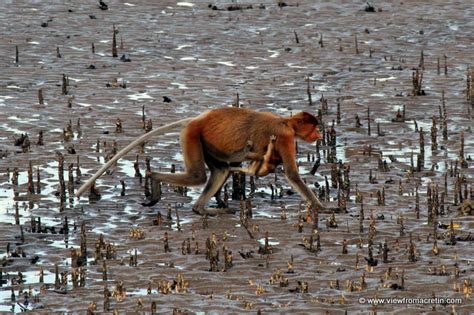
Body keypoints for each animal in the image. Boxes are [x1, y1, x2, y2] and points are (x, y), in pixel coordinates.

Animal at [77, 108, 326, 215]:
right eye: (314, 126)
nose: (319, 134)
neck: (286, 122)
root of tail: (196, 119)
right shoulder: (285, 137)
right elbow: (292, 174)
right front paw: (322, 208)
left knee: (220, 171)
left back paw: (200, 209)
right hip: (192, 136)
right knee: (198, 175)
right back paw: (152, 177)